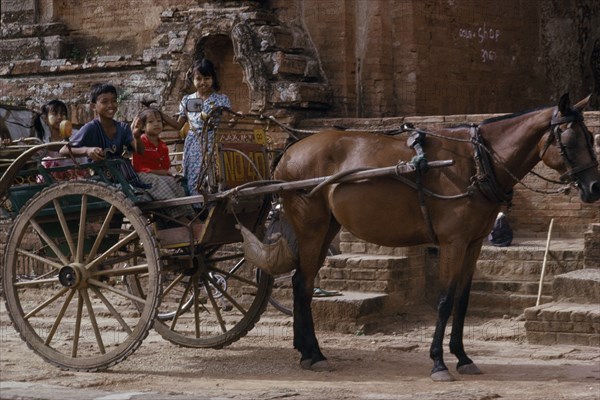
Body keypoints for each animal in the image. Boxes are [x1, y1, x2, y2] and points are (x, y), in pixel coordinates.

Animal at [274, 94, 600, 382]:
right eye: (571, 140)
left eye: (590, 138)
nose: (595, 187)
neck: (476, 162)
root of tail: (291, 150)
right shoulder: (452, 242)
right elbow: (445, 299)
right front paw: (438, 362)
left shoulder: (473, 243)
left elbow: (463, 300)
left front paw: (463, 357)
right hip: (311, 226)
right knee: (304, 283)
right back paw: (315, 354)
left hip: (327, 226)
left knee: (301, 281)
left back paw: (306, 351)